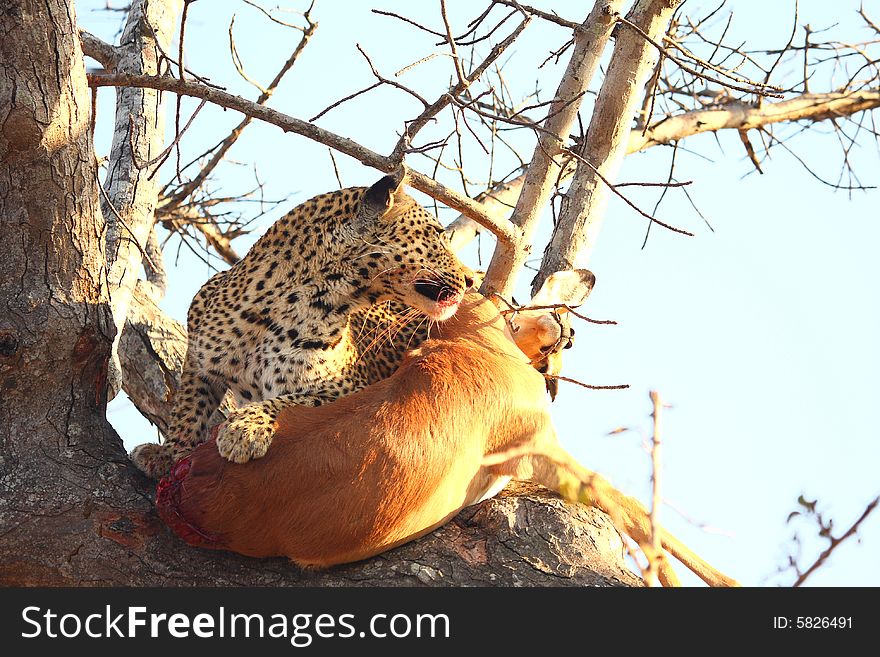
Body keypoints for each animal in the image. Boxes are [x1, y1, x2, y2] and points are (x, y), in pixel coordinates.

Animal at [129, 169, 474, 476]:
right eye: (437, 235)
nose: (471, 280)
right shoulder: (199, 361)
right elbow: (188, 408)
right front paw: (167, 453)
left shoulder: (348, 388)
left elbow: (292, 401)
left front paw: (244, 428)